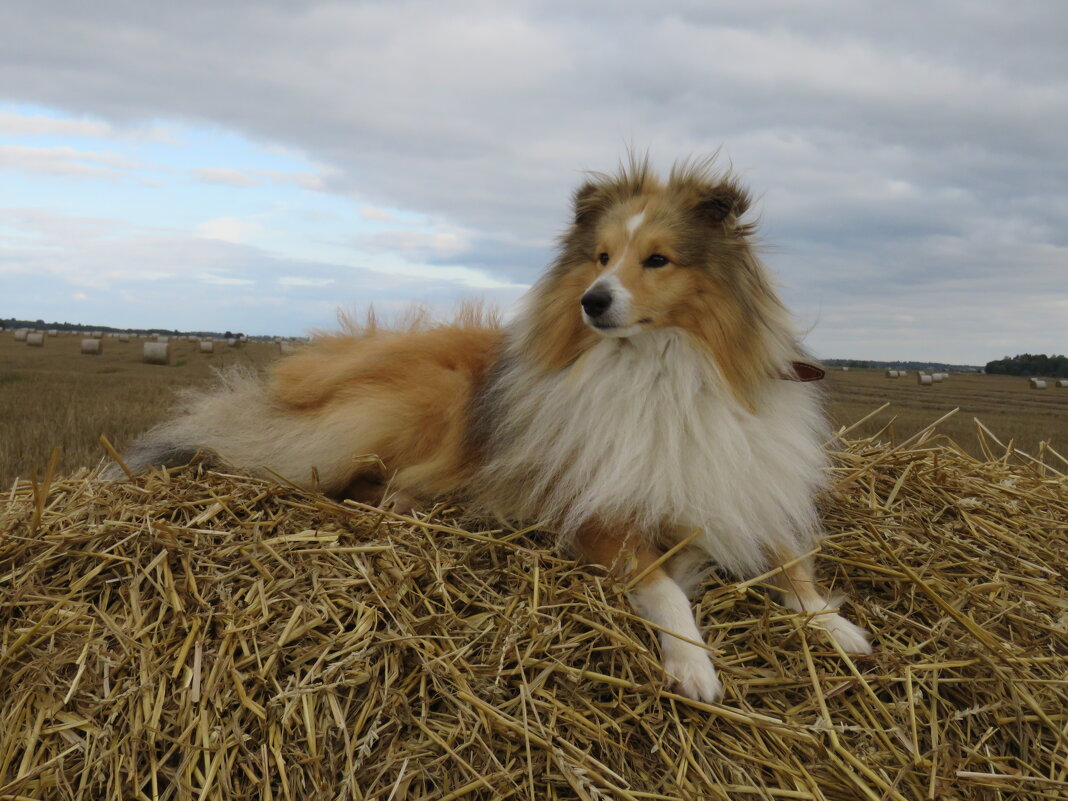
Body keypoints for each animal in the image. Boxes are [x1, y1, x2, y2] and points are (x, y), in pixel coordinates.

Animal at [112, 156, 871, 700]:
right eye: (600, 258)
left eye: (657, 259)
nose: (593, 302)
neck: (660, 372)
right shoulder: (597, 511)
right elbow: (662, 588)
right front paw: (693, 664)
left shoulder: (740, 485)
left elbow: (793, 564)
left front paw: (836, 626)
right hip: (425, 403)